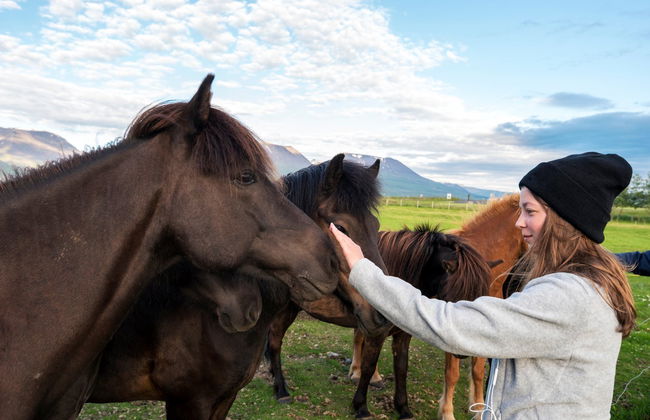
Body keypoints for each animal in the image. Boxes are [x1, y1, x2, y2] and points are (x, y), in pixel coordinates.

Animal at [349, 225, 492, 420]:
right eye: (453, 299)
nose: (464, 350)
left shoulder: (402, 334)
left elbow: (401, 368)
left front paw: (403, 409)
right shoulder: (377, 331)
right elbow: (368, 365)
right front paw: (361, 407)